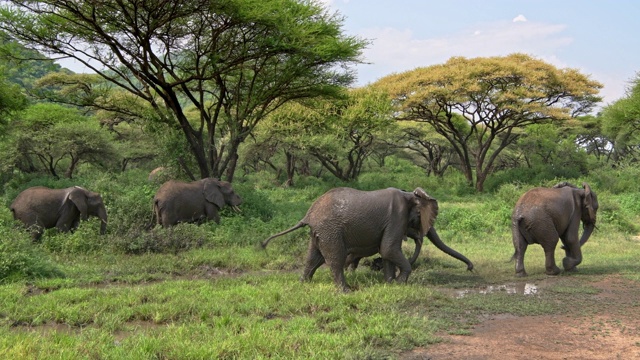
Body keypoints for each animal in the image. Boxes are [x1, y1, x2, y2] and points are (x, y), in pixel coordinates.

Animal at [262, 187, 476, 292]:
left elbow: (387, 251)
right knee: (335, 259)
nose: (470, 268)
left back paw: (303, 284)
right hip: (331, 230)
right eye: (418, 218)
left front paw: (389, 284)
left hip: (319, 232)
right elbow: (389, 248)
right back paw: (346, 291)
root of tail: (308, 215)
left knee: (312, 258)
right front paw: (400, 284)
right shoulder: (396, 216)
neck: (409, 195)